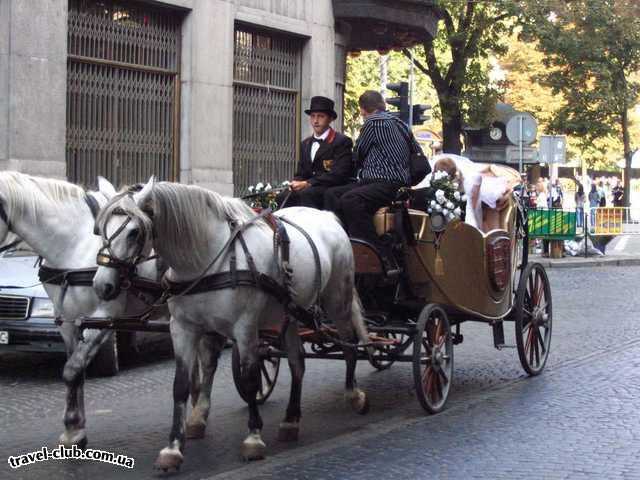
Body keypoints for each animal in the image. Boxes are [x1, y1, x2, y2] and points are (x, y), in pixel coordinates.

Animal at [0, 172, 170, 450]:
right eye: (100, 230)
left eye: (134, 233)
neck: (75, 246)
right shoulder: (68, 322)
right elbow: (75, 370)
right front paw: (75, 429)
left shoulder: (103, 317)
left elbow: (71, 369)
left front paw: (72, 428)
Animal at [92, 178, 368, 470]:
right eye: (101, 229)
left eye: (133, 232)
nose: (102, 285)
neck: (208, 258)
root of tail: (327, 215)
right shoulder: (183, 329)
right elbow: (181, 385)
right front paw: (173, 447)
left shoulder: (245, 328)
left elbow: (250, 379)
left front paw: (253, 439)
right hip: (290, 314)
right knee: (297, 363)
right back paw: (291, 420)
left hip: (337, 299)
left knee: (348, 343)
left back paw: (353, 394)